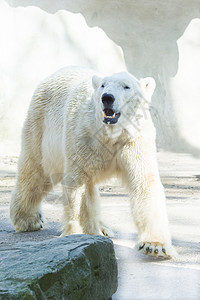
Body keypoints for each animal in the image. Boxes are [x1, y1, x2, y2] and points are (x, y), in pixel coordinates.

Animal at [10, 66, 176, 258]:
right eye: (103, 85)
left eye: (126, 86)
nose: (107, 97)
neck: (111, 133)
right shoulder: (84, 137)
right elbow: (80, 183)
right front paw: (81, 233)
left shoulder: (134, 139)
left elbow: (143, 182)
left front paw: (154, 246)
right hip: (41, 124)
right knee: (35, 169)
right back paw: (28, 220)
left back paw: (103, 228)